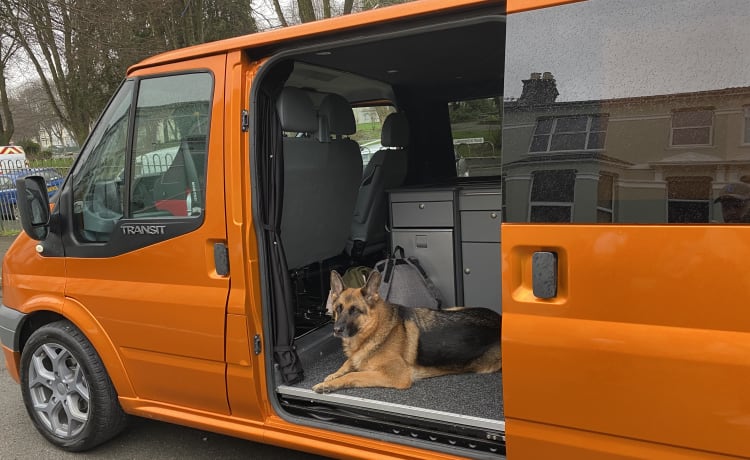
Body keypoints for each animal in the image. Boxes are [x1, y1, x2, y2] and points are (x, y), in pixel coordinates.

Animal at [314, 272, 502, 394]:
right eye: (338, 309)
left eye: (354, 311)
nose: (336, 330)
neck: (375, 330)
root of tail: (499, 319)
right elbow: (348, 363)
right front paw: (332, 376)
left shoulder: (397, 376)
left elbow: (355, 374)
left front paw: (330, 384)